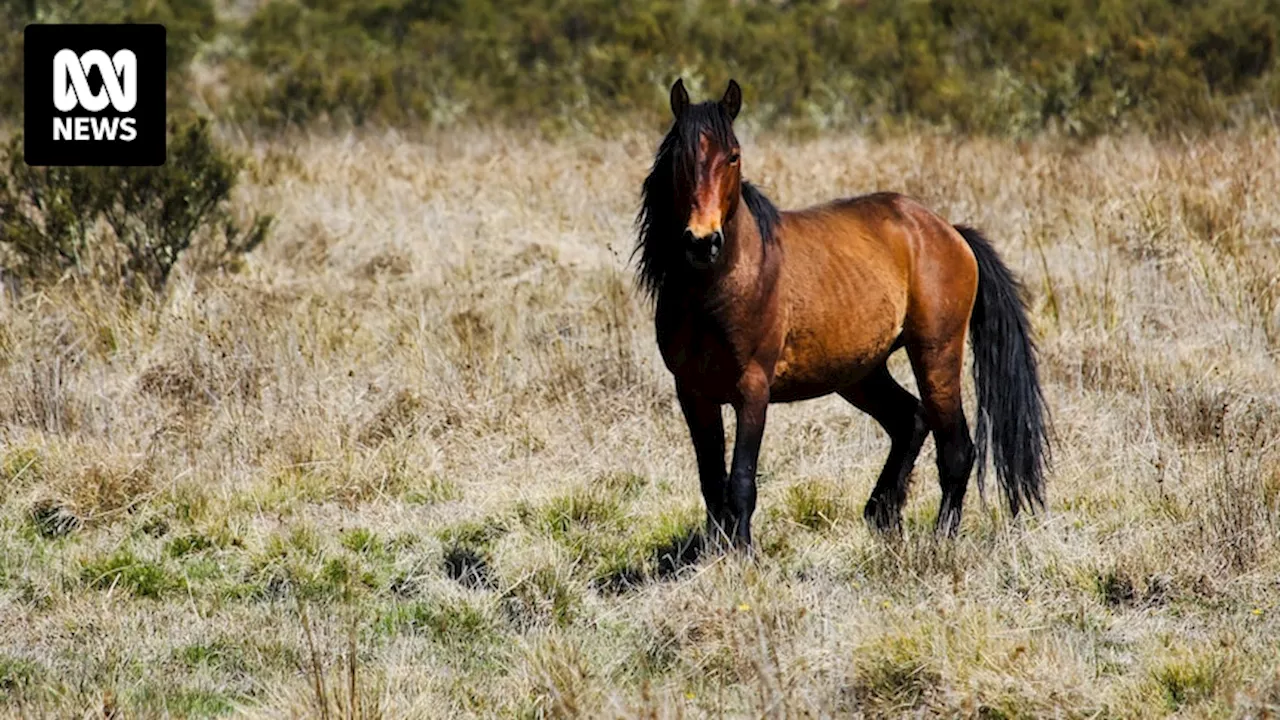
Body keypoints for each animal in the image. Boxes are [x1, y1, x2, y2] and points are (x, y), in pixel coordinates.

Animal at [637, 78, 1049, 545]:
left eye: (733, 156)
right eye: (680, 158)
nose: (702, 241)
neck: (720, 286)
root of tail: (947, 231)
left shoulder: (753, 389)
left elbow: (741, 481)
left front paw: (742, 553)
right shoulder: (693, 393)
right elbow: (712, 482)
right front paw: (717, 549)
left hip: (936, 355)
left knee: (957, 447)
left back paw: (941, 537)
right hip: (861, 372)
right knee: (910, 420)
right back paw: (882, 515)